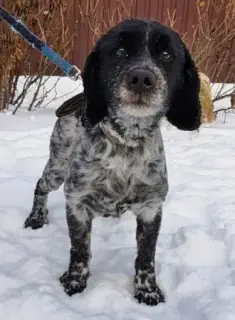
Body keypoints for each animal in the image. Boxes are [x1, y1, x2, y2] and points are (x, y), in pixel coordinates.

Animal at [25, 18, 202, 306]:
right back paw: (36, 218)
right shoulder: (77, 203)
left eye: (167, 55)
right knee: (41, 184)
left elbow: (146, 256)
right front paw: (74, 283)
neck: (126, 143)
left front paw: (147, 290)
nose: (142, 78)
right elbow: (80, 250)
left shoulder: (151, 207)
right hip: (57, 167)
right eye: (118, 52)